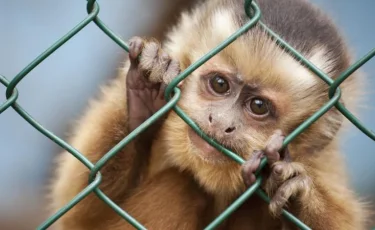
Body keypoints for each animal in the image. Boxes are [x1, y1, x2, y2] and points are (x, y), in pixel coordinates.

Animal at [48, 0, 372, 229]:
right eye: (219, 84)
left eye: (258, 106)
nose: (222, 123)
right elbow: (80, 216)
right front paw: (143, 100)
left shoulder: (320, 161)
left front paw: (296, 190)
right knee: (182, 187)